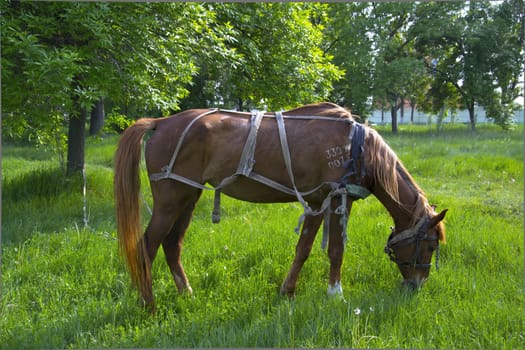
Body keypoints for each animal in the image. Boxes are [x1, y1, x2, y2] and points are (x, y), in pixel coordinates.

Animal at [112, 102, 444, 310]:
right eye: (430, 245)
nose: (418, 285)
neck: (357, 148)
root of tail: (161, 123)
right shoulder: (336, 200)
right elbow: (335, 250)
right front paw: (335, 294)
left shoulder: (317, 203)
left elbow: (304, 249)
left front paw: (288, 291)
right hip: (170, 201)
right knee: (147, 246)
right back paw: (148, 303)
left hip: (188, 197)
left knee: (172, 245)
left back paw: (186, 293)